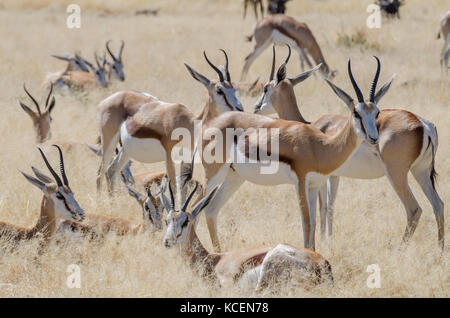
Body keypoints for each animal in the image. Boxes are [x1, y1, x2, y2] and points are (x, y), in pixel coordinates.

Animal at [95, 50, 243, 194]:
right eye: (219, 90)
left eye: (234, 89)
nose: (240, 108)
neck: (191, 124)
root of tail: (108, 99)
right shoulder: (169, 158)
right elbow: (174, 187)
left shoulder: (186, 160)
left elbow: (184, 189)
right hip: (108, 142)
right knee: (100, 172)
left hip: (126, 150)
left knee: (111, 171)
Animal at [200, 55, 380, 253]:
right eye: (356, 113)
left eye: (377, 112)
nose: (374, 138)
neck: (320, 146)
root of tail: (210, 123)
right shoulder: (300, 182)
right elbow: (306, 223)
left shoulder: (315, 185)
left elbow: (314, 223)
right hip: (213, 175)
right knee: (194, 208)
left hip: (234, 176)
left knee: (211, 210)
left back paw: (219, 253)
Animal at [255, 46, 444, 250]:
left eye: (265, 88)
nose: (256, 106)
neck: (312, 125)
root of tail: (422, 124)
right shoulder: (334, 176)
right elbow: (330, 206)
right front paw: (329, 240)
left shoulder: (321, 176)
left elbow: (321, 208)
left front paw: (323, 242)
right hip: (421, 171)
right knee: (438, 205)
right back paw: (440, 250)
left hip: (397, 174)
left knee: (414, 209)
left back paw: (400, 249)